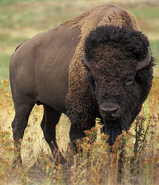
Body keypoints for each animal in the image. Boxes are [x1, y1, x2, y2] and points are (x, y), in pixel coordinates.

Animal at [9, 4, 154, 163]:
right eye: (95, 79)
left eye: (129, 79)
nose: (109, 110)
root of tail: (20, 48)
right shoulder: (82, 113)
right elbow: (82, 139)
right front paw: (83, 163)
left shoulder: (128, 113)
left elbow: (115, 139)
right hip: (23, 101)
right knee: (19, 127)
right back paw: (18, 164)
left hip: (50, 105)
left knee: (47, 128)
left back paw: (62, 163)